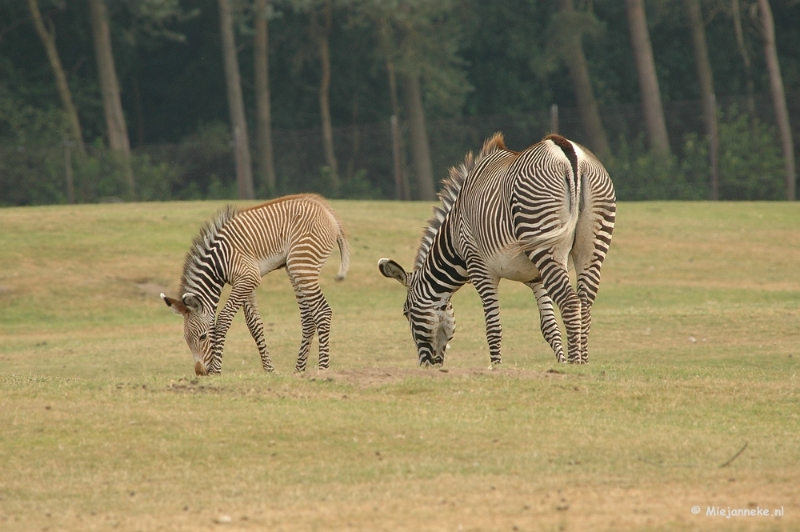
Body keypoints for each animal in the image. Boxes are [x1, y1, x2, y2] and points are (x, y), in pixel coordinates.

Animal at [161, 194, 348, 374]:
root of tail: (327, 211)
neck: (218, 262)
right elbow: (254, 324)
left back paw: (323, 368)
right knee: (309, 317)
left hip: (302, 266)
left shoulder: (248, 278)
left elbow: (223, 319)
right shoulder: (244, 282)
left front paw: (216, 370)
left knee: (322, 311)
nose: (200, 373)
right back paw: (299, 370)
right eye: (186, 340)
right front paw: (269, 369)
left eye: (203, 337)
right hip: (295, 269)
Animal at [378, 132, 616, 366]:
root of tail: (565, 149)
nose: (426, 366)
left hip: (542, 235)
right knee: (585, 302)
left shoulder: (480, 268)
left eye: (406, 313)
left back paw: (576, 362)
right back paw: (583, 364)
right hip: (592, 243)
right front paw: (561, 364)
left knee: (570, 302)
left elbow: (493, 327)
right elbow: (549, 327)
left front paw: (496, 368)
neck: (454, 236)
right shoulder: (536, 277)